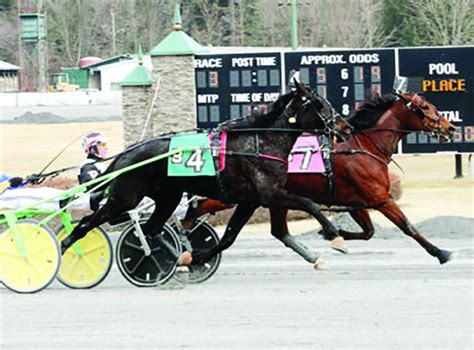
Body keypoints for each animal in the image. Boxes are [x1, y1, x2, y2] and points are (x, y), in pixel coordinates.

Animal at [61, 81, 346, 266]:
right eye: (320, 104)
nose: (346, 127)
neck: (261, 142)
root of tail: (127, 152)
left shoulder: (249, 201)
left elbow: (228, 238)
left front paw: (196, 257)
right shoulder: (269, 194)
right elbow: (310, 203)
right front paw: (335, 236)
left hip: (168, 197)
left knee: (152, 228)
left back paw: (176, 258)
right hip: (126, 197)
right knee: (88, 222)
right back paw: (65, 247)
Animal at [182, 91, 456, 266]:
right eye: (426, 107)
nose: (450, 128)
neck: (364, 146)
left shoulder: (357, 201)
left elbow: (368, 232)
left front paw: (333, 234)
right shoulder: (380, 198)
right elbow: (408, 226)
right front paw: (441, 252)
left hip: (267, 199)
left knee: (276, 231)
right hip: (235, 195)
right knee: (198, 207)